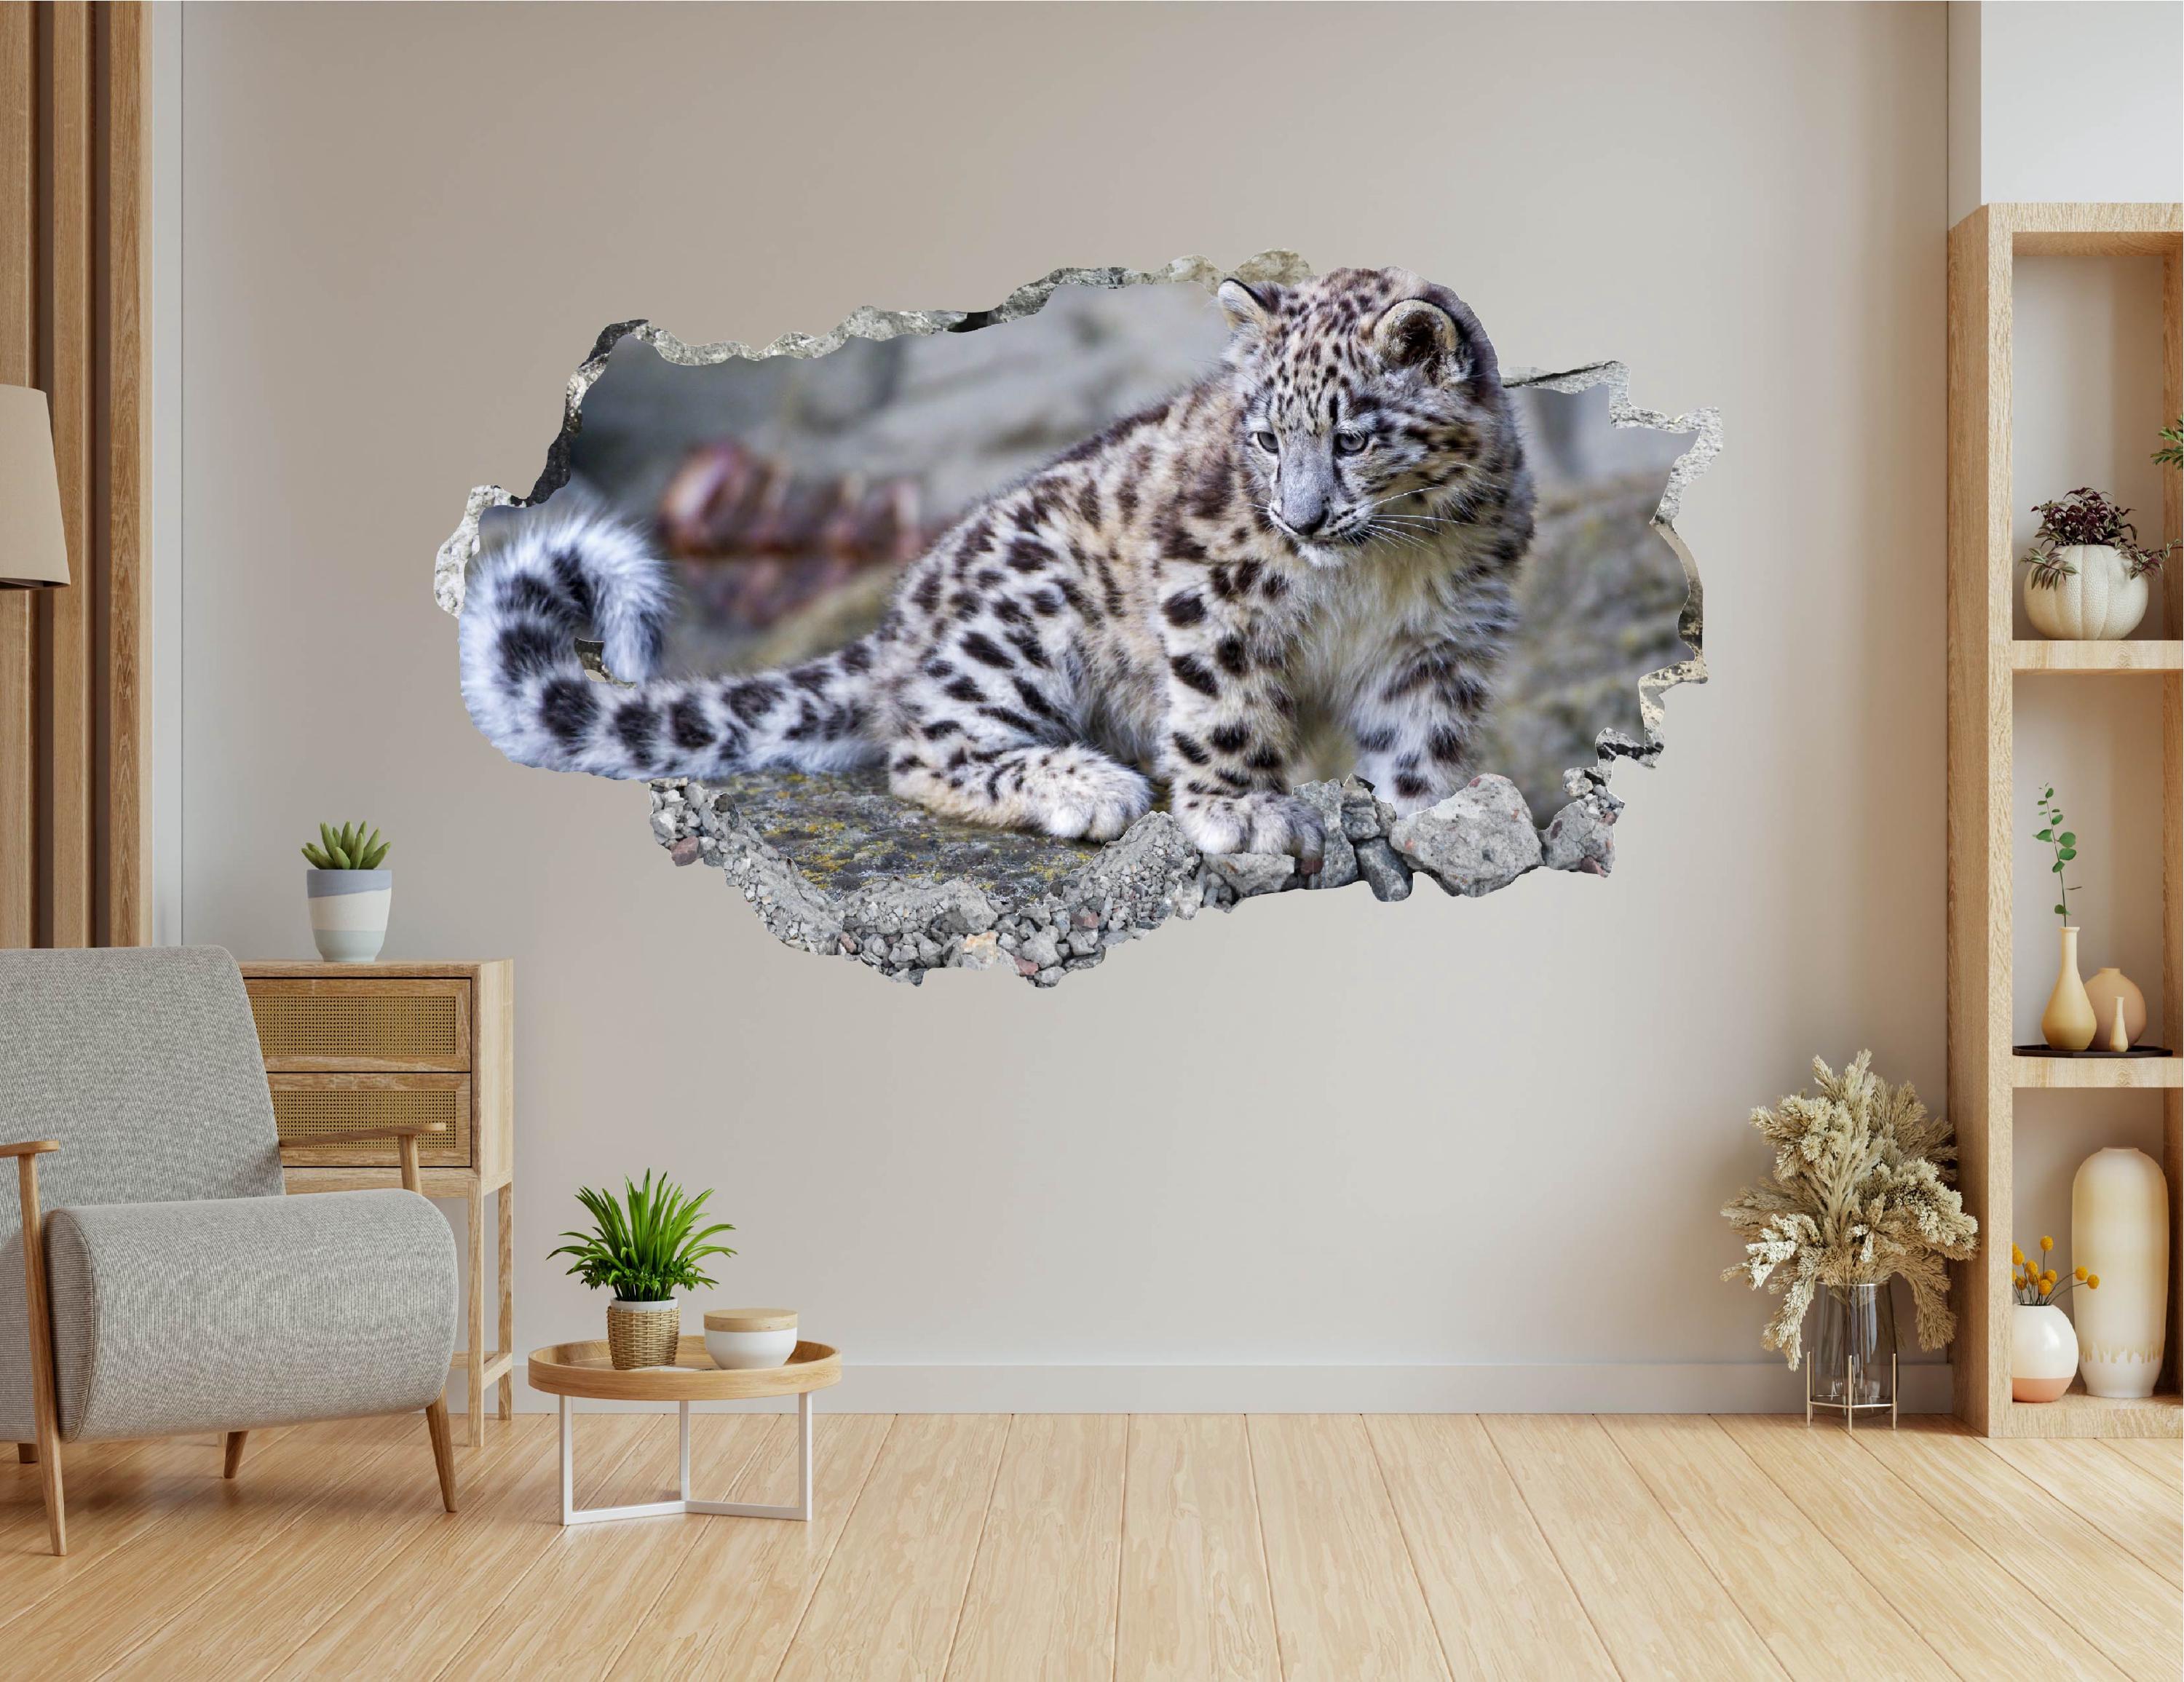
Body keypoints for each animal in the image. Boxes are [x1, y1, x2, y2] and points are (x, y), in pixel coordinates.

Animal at [460, 265, 1536, 869]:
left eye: (1353, 437)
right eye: (1269, 437)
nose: (1301, 514)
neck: (1386, 562)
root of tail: (898, 624)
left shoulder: (1442, 641)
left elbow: (1419, 744)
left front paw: (1429, 816)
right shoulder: (1209, 584)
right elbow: (1226, 705)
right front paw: (1241, 812)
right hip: (1027, 612)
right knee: (924, 748)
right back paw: (1089, 785)